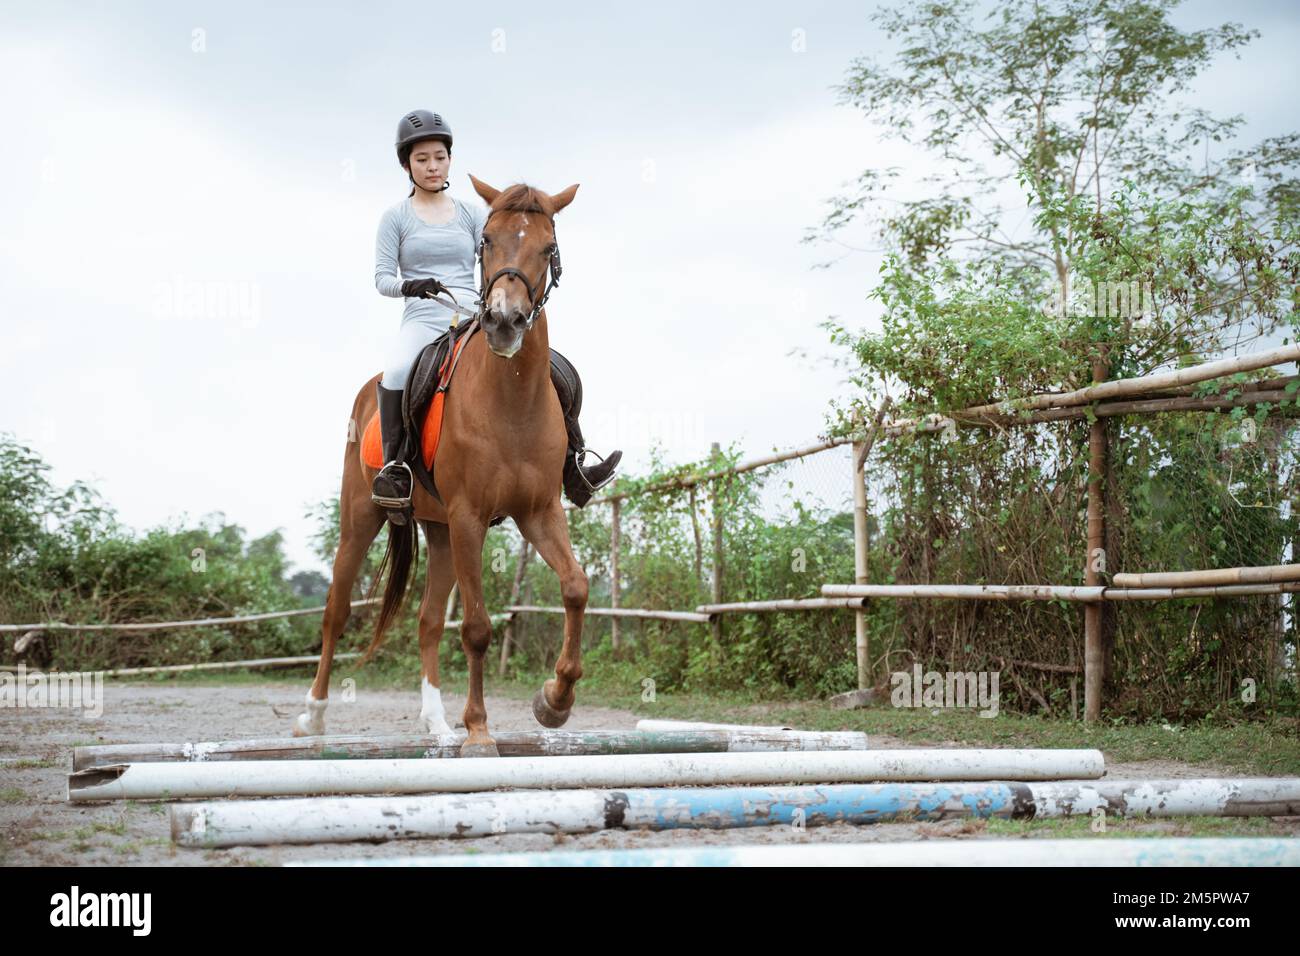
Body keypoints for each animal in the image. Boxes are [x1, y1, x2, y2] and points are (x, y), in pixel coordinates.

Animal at [292, 175, 589, 757]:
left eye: (548, 248)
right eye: (487, 241)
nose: (503, 322)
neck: (511, 398)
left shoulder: (539, 512)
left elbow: (575, 588)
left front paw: (554, 702)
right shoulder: (471, 516)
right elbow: (476, 628)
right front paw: (479, 732)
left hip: (441, 530)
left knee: (428, 621)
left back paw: (436, 724)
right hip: (363, 520)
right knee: (336, 611)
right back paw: (312, 718)